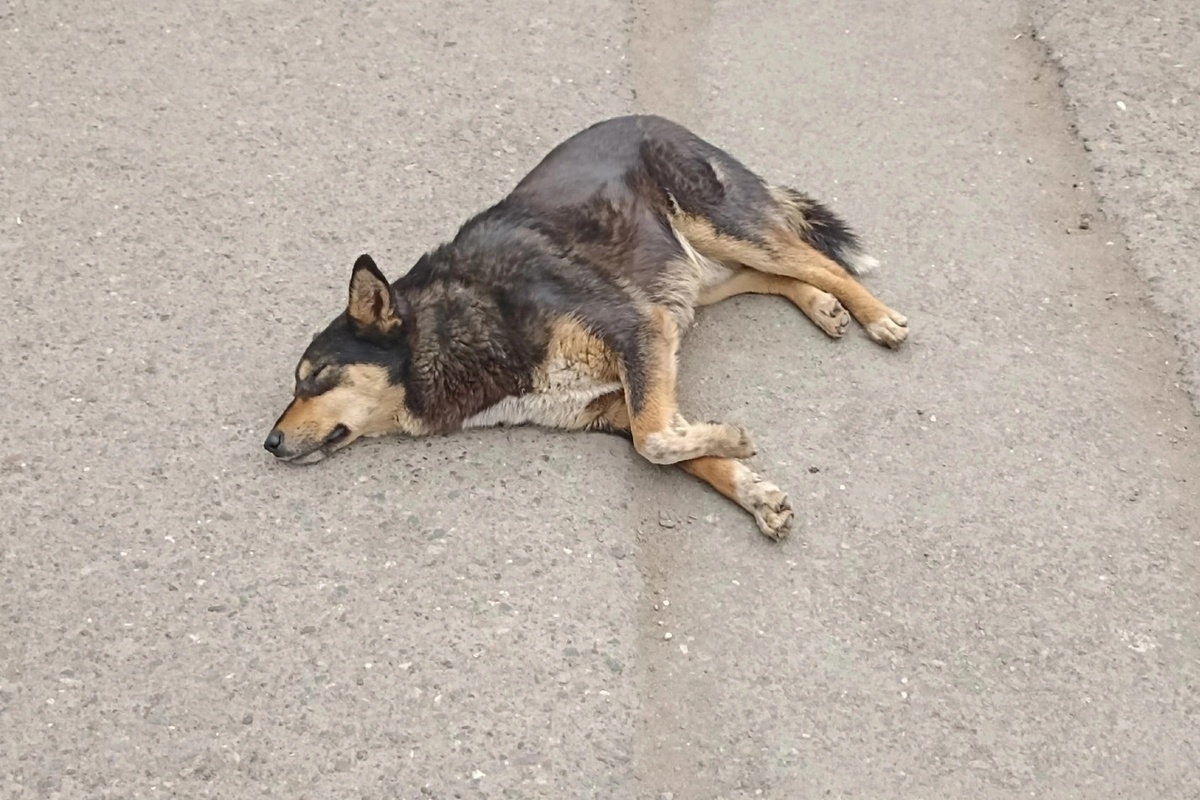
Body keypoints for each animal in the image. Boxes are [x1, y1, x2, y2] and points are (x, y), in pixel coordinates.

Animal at [265, 115, 907, 542]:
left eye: (315, 377)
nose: (268, 443)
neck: (457, 324)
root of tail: (658, 118)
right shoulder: (625, 385)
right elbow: (673, 445)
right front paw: (749, 487)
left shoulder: (638, 330)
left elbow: (657, 441)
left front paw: (730, 437)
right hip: (688, 275)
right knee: (774, 273)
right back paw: (821, 305)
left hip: (715, 227)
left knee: (815, 259)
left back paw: (876, 316)